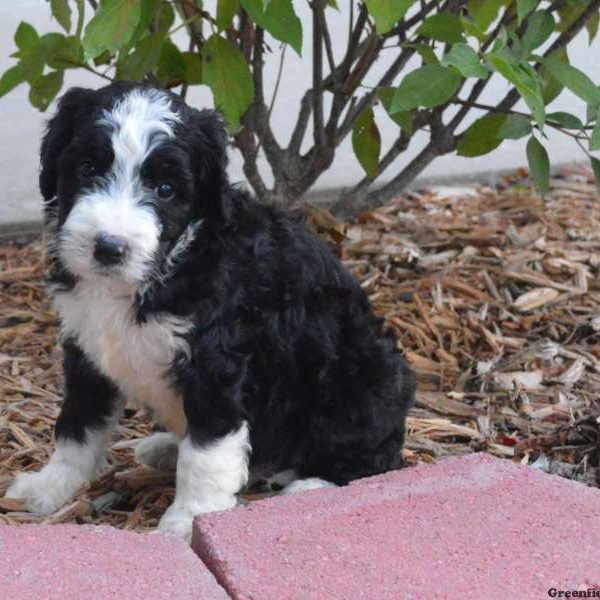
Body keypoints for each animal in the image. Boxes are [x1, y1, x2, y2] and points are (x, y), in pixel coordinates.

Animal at [4, 81, 414, 540]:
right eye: (87, 167)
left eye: (165, 189)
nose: (108, 247)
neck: (167, 264)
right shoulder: (86, 348)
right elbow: (78, 425)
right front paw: (51, 485)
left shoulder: (215, 363)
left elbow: (207, 452)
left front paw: (189, 521)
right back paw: (167, 447)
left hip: (358, 381)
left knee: (374, 460)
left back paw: (310, 488)